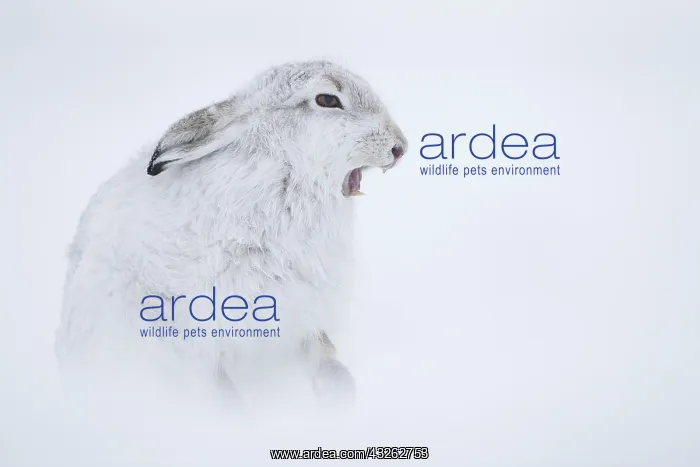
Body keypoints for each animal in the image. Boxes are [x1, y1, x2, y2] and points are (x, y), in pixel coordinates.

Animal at [55, 59, 408, 408]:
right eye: (327, 100)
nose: (400, 147)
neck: (285, 178)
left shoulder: (302, 315)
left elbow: (322, 351)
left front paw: (339, 393)